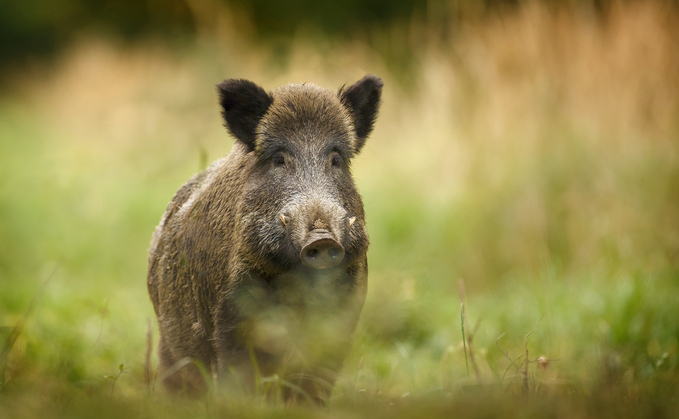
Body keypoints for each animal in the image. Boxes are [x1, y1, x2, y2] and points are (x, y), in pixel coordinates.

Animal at [147, 75, 382, 402]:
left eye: (336, 160)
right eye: (279, 159)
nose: (322, 238)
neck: (298, 286)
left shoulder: (344, 313)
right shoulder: (231, 313)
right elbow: (239, 374)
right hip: (169, 347)